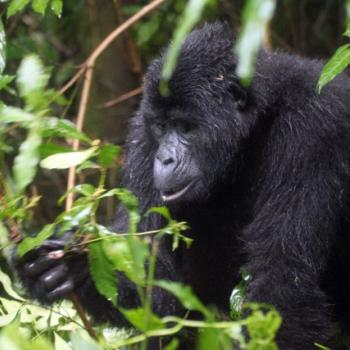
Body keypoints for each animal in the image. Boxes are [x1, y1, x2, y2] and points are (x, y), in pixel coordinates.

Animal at [15, 23, 350, 348]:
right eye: (162, 127)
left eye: (185, 127)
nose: (164, 158)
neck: (257, 121)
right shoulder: (142, 134)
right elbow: (157, 287)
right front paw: (76, 268)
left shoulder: (312, 130)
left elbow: (282, 277)